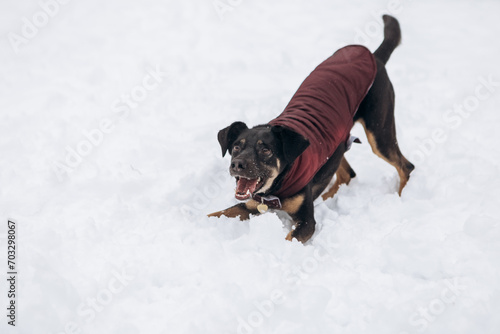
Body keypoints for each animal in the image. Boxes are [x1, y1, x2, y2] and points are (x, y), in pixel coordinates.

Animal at [207, 15, 414, 243]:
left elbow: (290, 239)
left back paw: (403, 198)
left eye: (266, 150)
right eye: (236, 147)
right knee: (347, 173)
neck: (278, 183)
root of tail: (375, 57)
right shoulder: (250, 204)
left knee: (405, 166)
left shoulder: (307, 222)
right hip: (340, 142)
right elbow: (218, 213)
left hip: (380, 133)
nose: (237, 164)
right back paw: (326, 197)